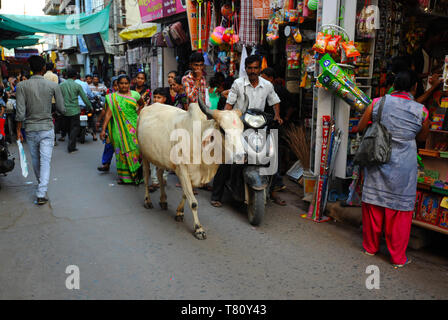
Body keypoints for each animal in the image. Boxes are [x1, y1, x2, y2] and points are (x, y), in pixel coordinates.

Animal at [138, 101, 247, 239]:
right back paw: (147, 201)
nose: (241, 156)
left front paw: (179, 213)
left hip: (161, 158)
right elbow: (194, 203)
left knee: (160, 174)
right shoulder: (182, 170)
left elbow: (186, 194)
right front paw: (198, 229)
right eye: (222, 130)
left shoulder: (193, 175)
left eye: (242, 129)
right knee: (146, 176)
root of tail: (147, 108)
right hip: (144, 154)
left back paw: (163, 200)